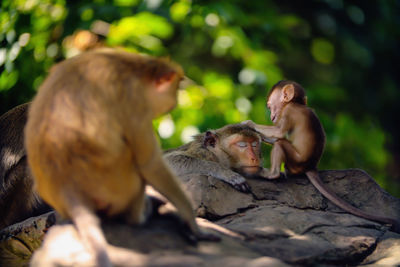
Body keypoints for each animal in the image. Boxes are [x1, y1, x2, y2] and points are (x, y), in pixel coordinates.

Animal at [24, 48, 219, 267]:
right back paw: (141, 214)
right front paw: (194, 225)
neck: (135, 70)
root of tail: (67, 188)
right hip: (119, 186)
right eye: (174, 89)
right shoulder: (136, 102)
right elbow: (149, 164)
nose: (175, 101)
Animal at [244, 80, 400, 233]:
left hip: (296, 162)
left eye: (270, 106)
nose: (271, 116)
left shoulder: (289, 112)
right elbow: (277, 136)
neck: (295, 104)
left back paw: (272, 174)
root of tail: (311, 166)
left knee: (281, 144)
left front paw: (249, 123)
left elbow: (279, 133)